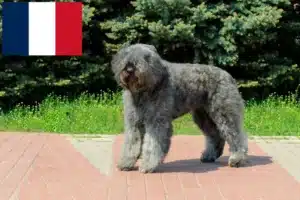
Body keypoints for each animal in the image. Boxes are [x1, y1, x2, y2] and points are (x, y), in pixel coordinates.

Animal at [111, 43, 247, 173]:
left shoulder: (157, 122)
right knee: (215, 136)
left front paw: (148, 165)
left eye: (146, 57)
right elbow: (131, 144)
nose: (129, 68)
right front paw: (126, 163)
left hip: (225, 114)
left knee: (236, 135)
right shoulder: (134, 122)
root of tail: (229, 76)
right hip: (204, 117)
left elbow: (152, 145)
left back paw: (237, 159)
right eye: (126, 54)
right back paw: (209, 156)